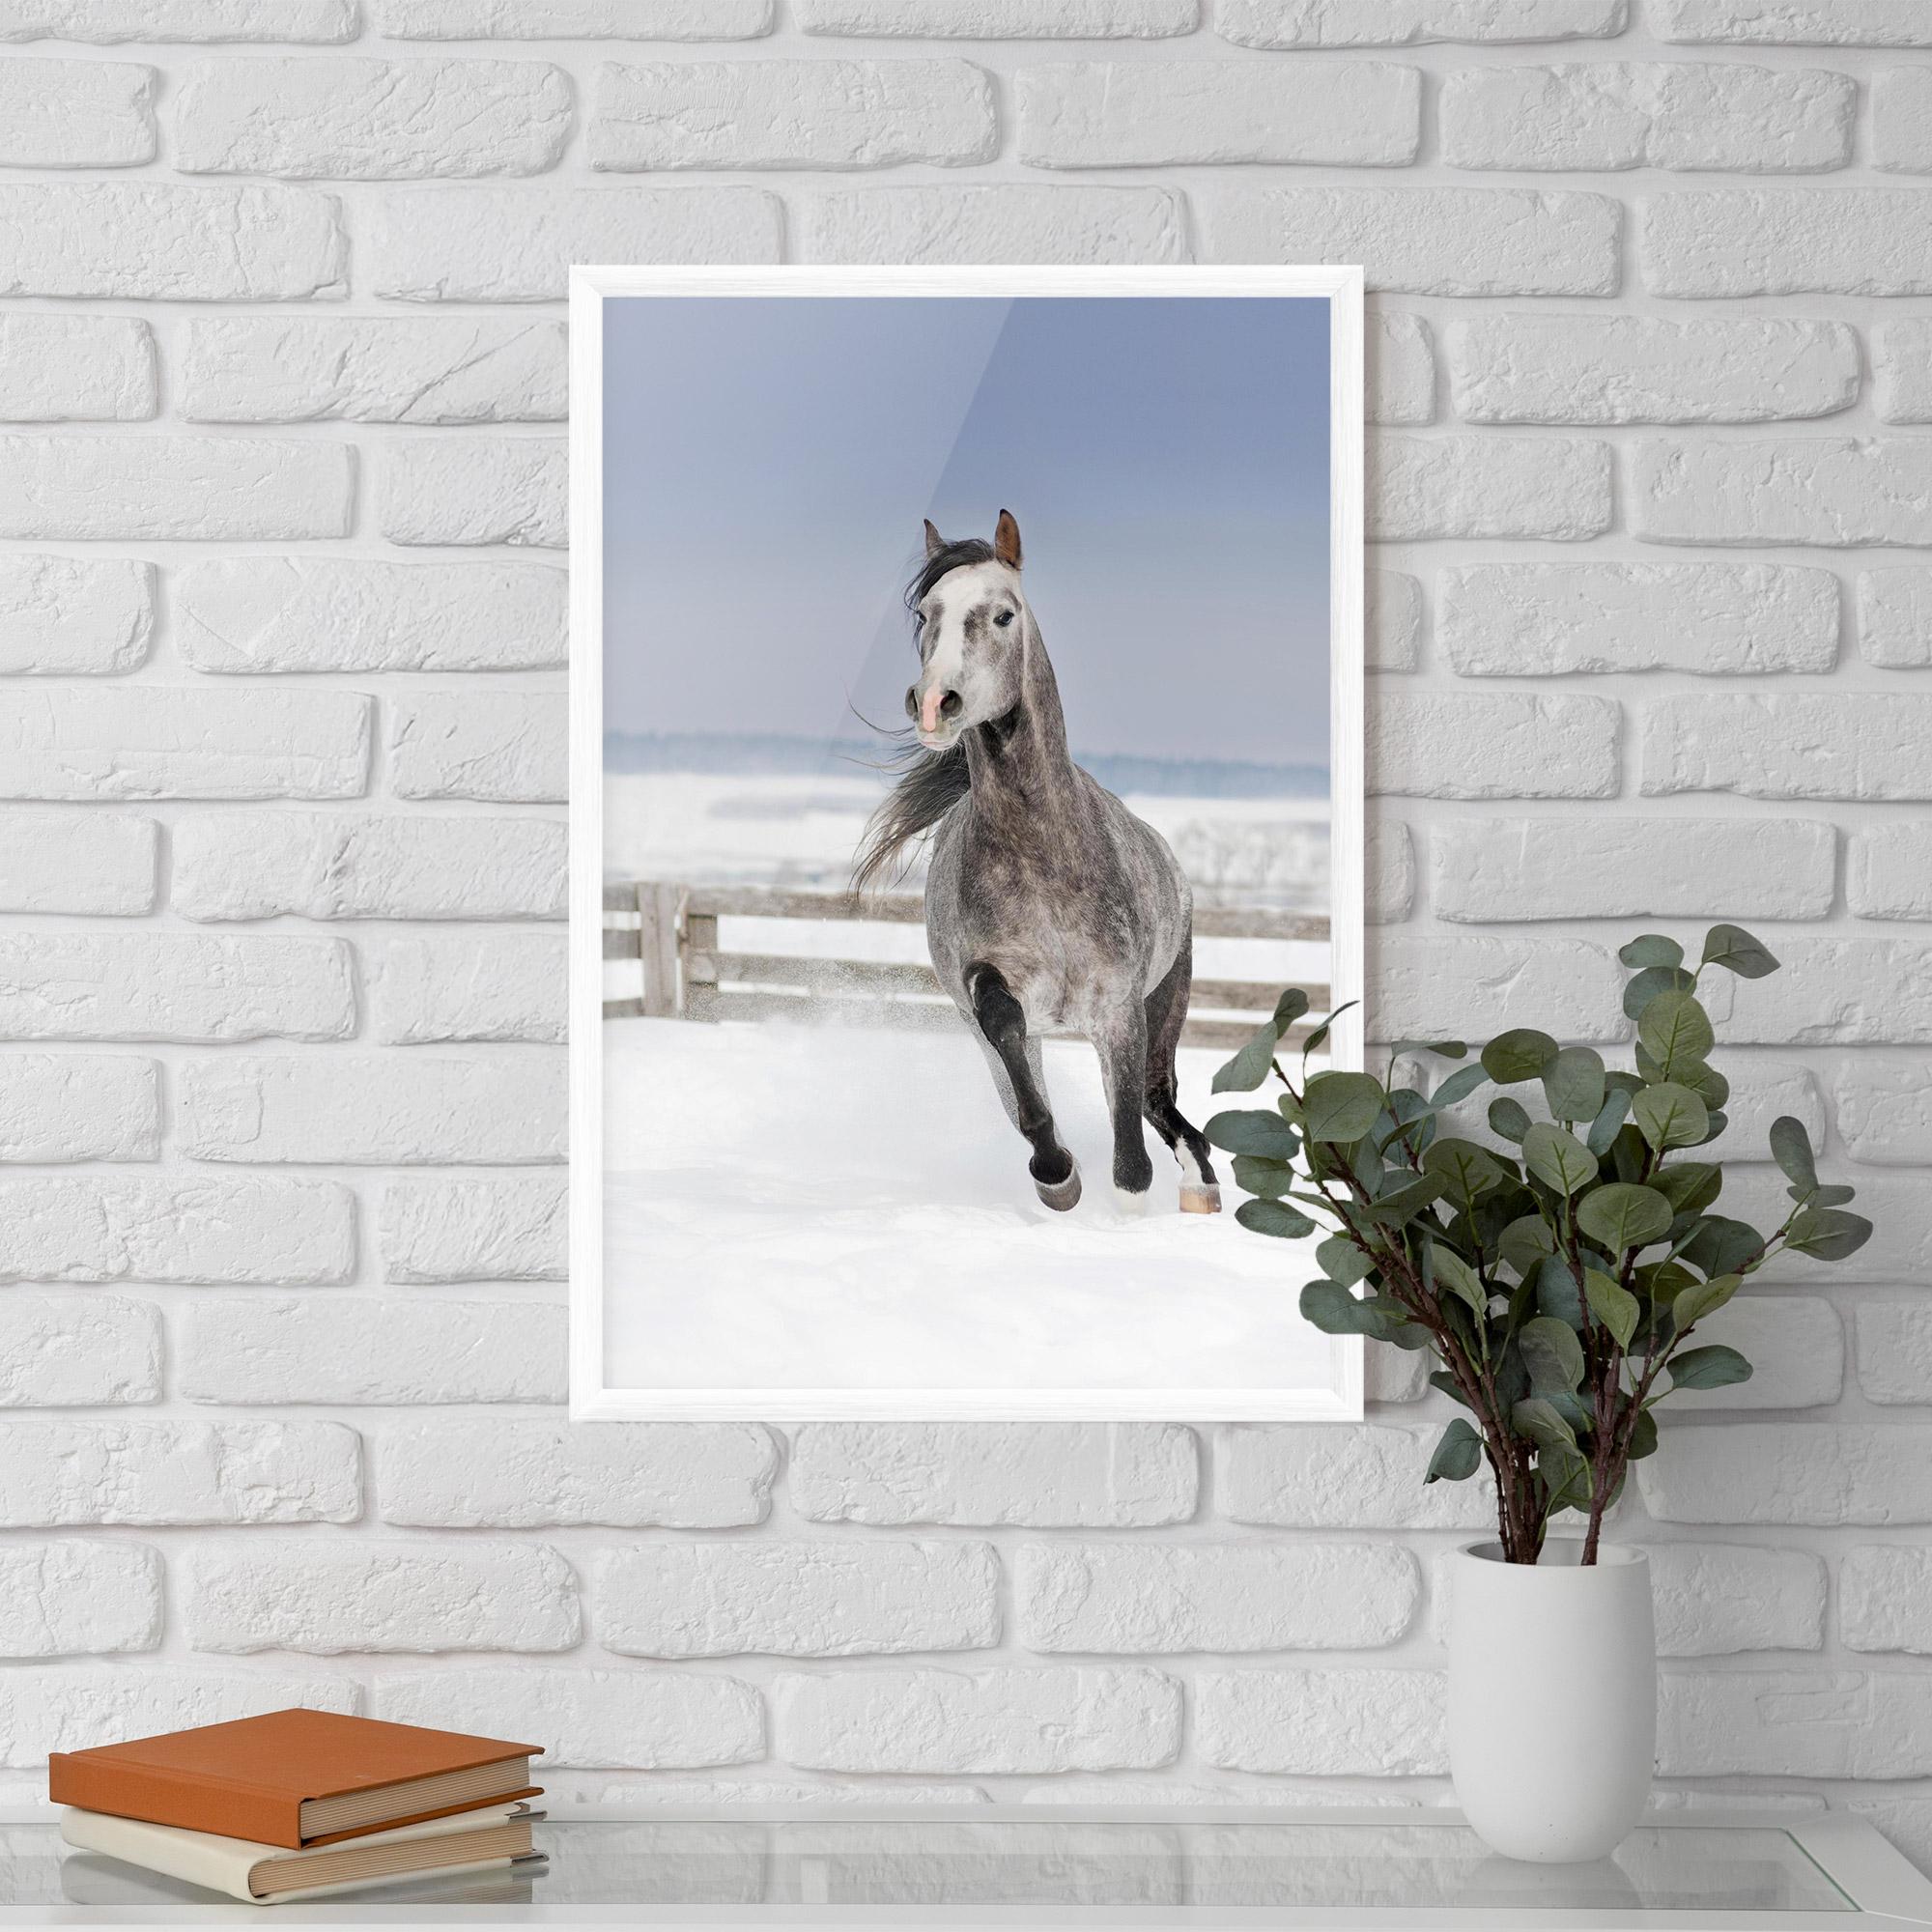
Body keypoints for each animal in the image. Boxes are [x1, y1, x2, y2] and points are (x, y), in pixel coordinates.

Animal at [853, 510, 1221, 1219]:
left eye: (1003, 615)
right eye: (925, 614)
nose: (934, 703)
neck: (1043, 857)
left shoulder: (1120, 1010)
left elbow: (1130, 1156)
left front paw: (1126, 1205)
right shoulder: (994, 999)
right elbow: (1016, 1061)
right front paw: (1057, 1174)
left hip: (1166, 1001)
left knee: (1160, 1100)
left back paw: (1201, 1186)